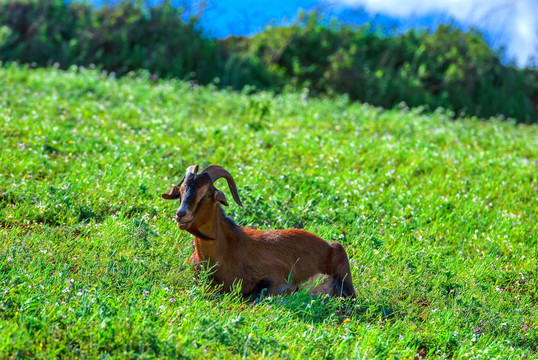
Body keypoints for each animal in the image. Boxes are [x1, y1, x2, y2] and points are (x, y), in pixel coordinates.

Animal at [163, 165, 356, 300]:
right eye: (181, 192)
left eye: (205, 194)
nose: (181, 215)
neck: (230, 249)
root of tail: (329, 245)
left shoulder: (274, 275)